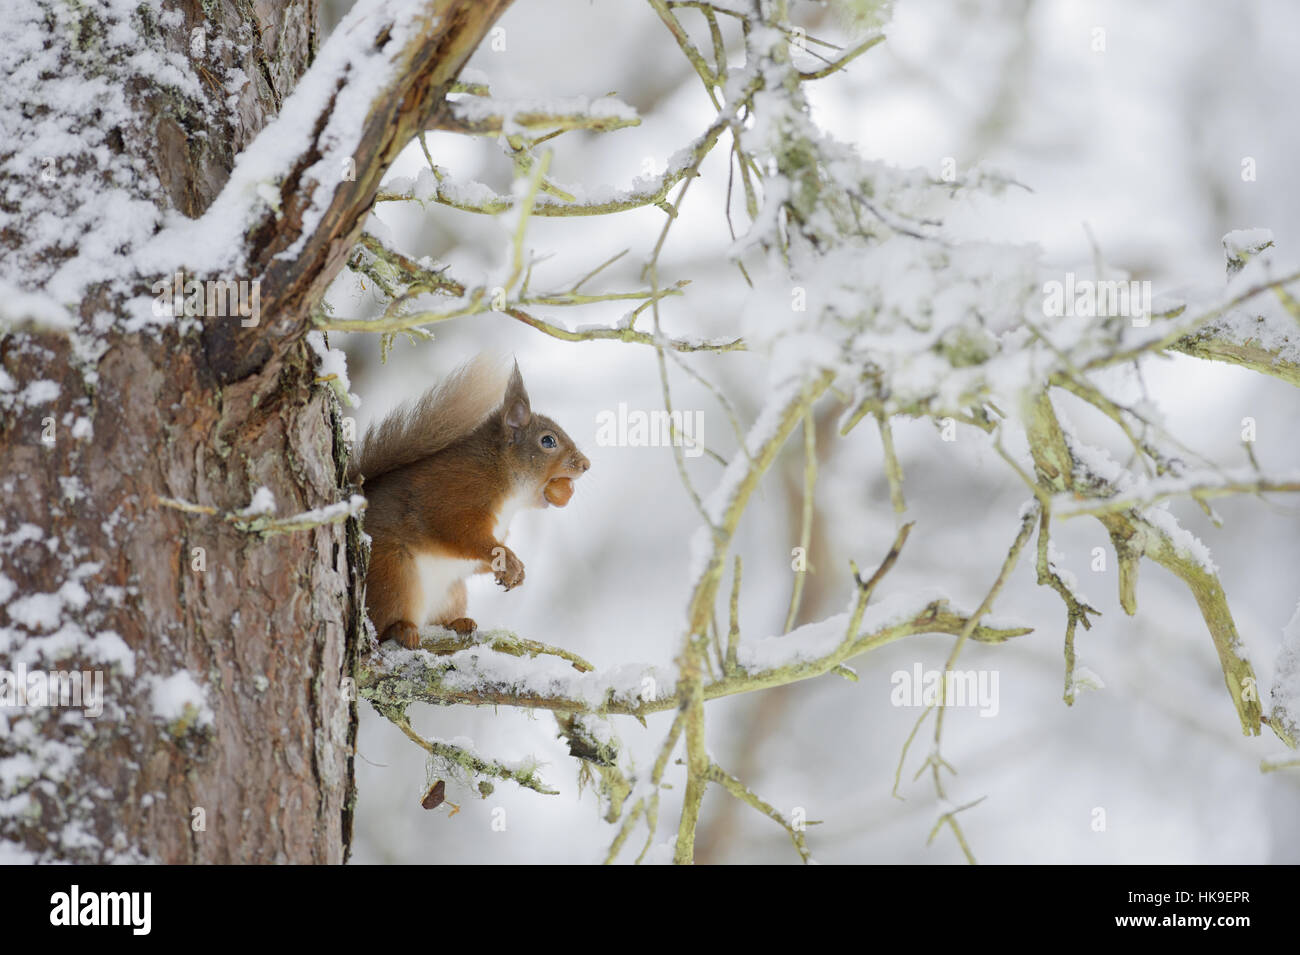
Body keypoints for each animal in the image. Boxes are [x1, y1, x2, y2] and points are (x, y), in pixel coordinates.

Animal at [345, 358, 590, 649]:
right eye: (548, 441)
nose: (586, 465)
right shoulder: (456, 496)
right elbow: (464, 535)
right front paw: (509, 561)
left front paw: (515, 572)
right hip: (393, 574)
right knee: (382, 625)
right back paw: (401, 629)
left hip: (453, 592)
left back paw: (457, 623)